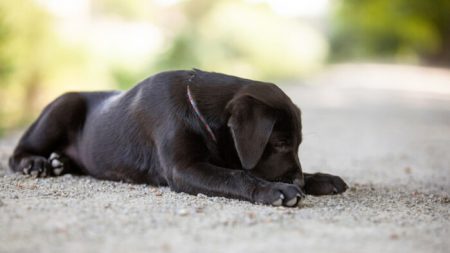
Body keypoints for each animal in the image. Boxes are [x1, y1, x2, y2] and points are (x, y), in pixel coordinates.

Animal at [9, 68, 348, 206]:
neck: (196, 108)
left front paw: (319, 178)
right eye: (278, 144)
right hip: (63, 106)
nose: (299, 182)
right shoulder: (184, 169)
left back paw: (59, 162)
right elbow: (237, 175)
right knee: (16, 154)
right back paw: (37, 163)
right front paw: (276, 190)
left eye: (297, 144)